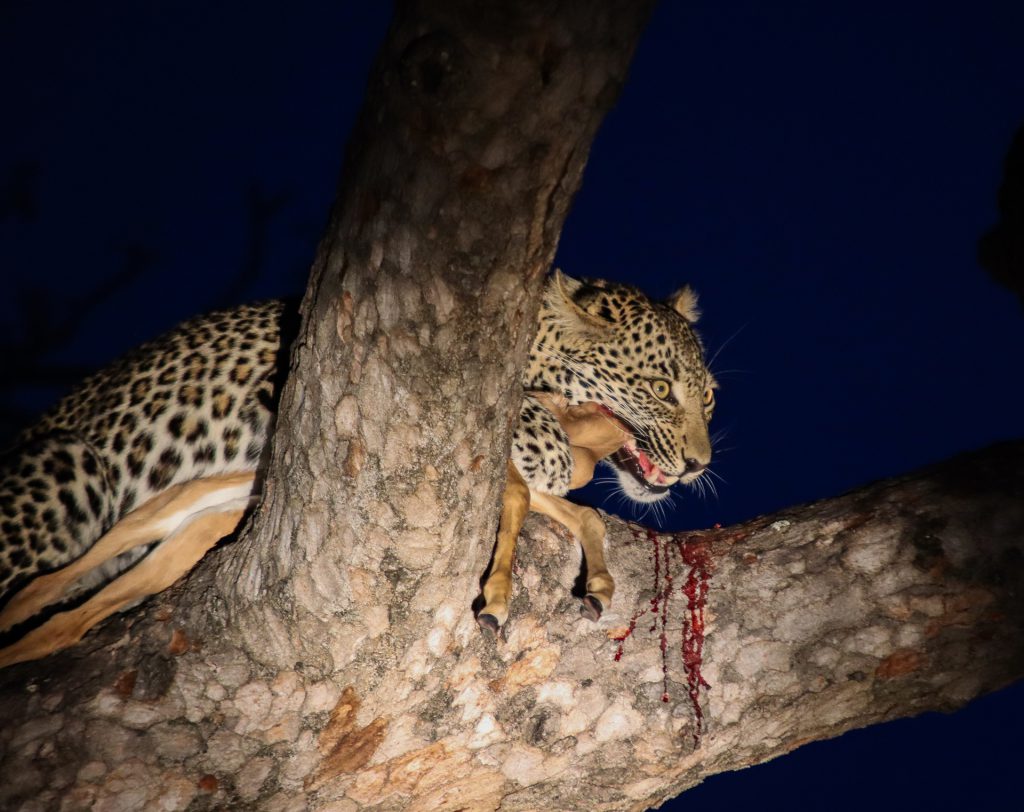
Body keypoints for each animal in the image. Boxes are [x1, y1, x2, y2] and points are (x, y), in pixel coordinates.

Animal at [0, 272, 712, 651]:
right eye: (660, 388)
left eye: (707, 397)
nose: (698, 465)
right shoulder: (294, 378)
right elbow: (528, 464)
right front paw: (498, 595)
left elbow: (576, 510)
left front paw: (596, 583)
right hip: (79, 474)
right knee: (44, 580)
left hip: (178, 544)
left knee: (70, 616)